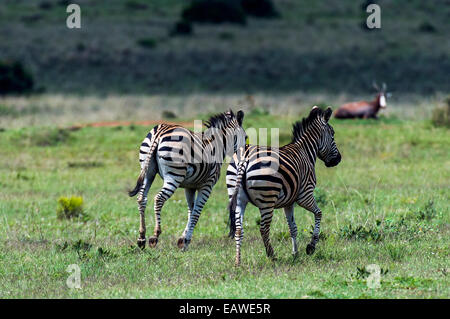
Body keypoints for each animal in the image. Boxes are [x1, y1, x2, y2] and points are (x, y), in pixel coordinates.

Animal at [128, 110, 246, 252]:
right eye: (245, 137)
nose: (243, 156)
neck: (218, 145)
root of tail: (160, 131)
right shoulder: (207, 185)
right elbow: (196, 213)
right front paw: (185, 240)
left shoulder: (190, 186)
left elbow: (191, 210)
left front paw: (183, 239)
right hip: (174, 175)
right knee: (159, 198)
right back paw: (154, 236)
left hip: (147, 171)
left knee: (141, 198)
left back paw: (141, 238)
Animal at [229, 106, 342, 266]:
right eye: (332, 135)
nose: (338, 160)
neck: (306, 151)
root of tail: (245, 158)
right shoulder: (305, 195)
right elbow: (319, 213)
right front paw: (310, 247)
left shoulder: (288, 202)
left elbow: (293, 227)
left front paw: (295, 253)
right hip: (267, 199)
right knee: (264, 229)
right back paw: (272, 256)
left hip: (238, 198)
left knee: (239, 229)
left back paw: (238, 261)